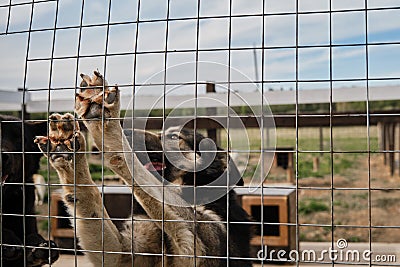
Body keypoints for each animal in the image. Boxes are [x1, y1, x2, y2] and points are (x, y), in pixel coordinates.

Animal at [36, 71, 252, 267]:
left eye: (173, 137)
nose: (127, 131)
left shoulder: (196, 245)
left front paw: (107, 123)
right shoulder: (124, 255)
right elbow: (90, 197)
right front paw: (70, 157)